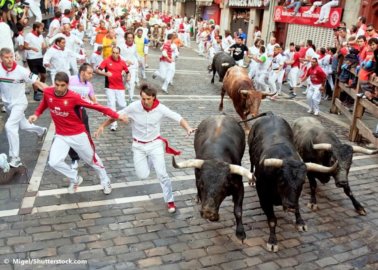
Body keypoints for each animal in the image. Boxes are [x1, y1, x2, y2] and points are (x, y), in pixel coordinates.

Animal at [248, 113, 336, 251]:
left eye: (302, 182)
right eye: (282, 180)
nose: (290, 205)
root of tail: (271, 114)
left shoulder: (295, 197)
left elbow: (298, 206)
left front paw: (300, 222)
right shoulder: (263, 197)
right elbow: (272, 220)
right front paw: (272, 241)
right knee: (251, 162)